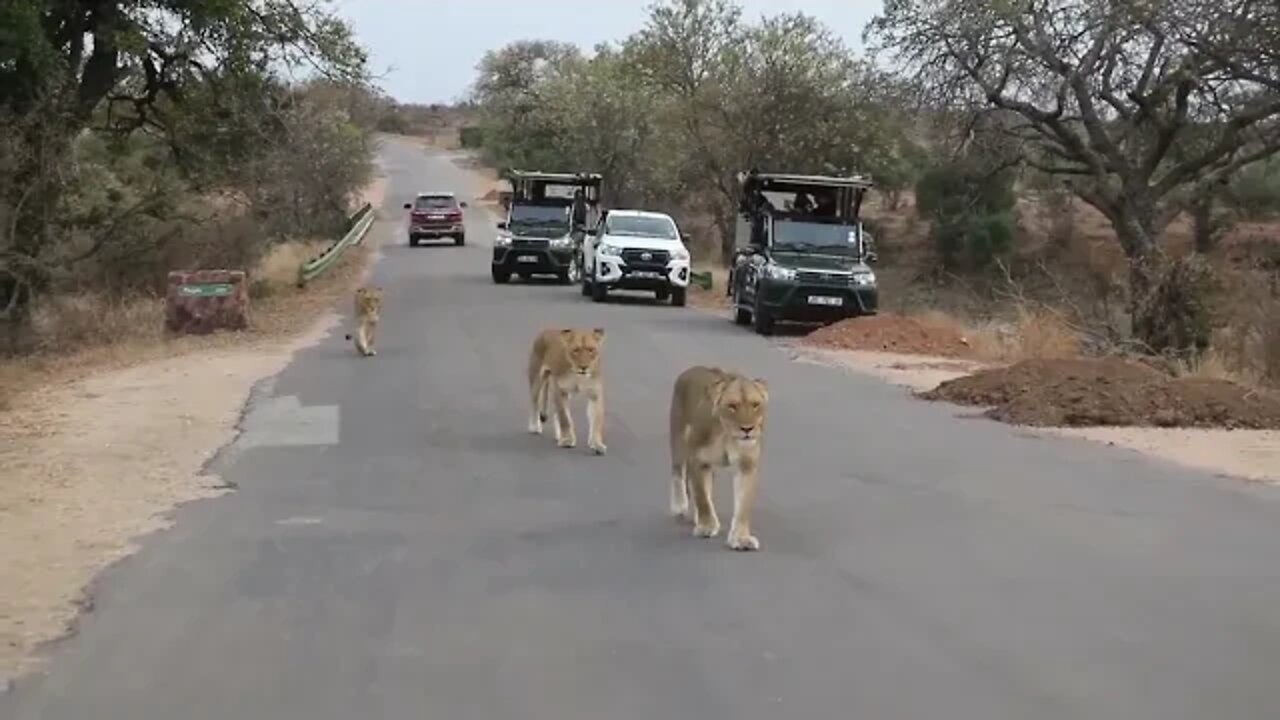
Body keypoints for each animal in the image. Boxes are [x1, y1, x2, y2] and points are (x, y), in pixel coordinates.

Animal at [670, 363, 768, 548]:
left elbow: (743, 506)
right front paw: (706, 527)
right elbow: (702, 496)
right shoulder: (698, 460)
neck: (727, 434)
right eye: (732, 406)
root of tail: (691, 369)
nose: (747, 429)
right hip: (678, 440)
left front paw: (741, 538)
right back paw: (679, 505)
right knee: (677, 473)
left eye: (755, 405)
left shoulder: (747, 465)